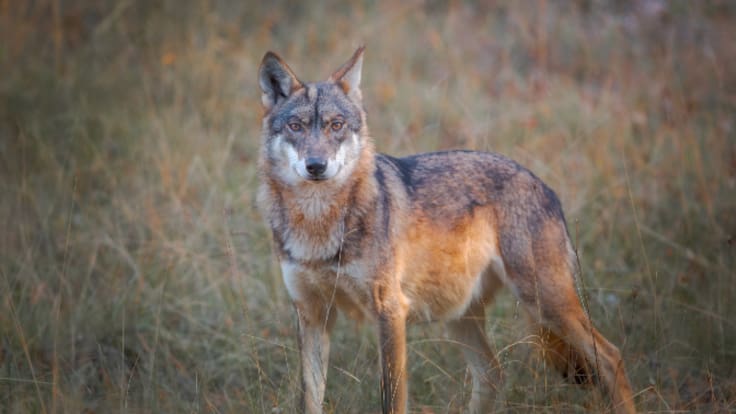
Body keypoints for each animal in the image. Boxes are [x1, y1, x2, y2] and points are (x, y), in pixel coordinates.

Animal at [256, 46, 636, 414]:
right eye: (296, 126)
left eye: (336, 125)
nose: (316, 166)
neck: (317, 223)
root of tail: (545, 186)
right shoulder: (311, 315)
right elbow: (309, 400)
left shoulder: (390, 311)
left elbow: (392, 400)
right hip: (462, 315)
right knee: (492, 373)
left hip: (546, 303)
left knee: (611, 357)